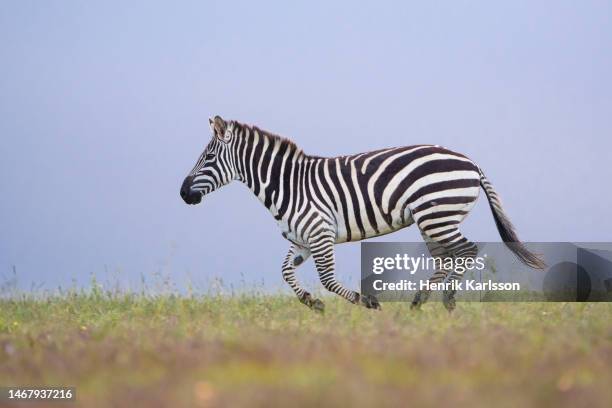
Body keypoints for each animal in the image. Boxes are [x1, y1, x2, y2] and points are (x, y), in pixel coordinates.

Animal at [178, 115, 544, 312]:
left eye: (207, 158)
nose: (182, 193)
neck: (288, 185)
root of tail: (471, 163)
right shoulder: (301, 239)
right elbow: (285, 272)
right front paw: (312, 303)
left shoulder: (320, 233)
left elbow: (327, 279)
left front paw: (367, 302)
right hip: (433, 220)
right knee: (446, 257)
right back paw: (418, 303)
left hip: (437, 214)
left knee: (466, 250)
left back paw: (447, 300)